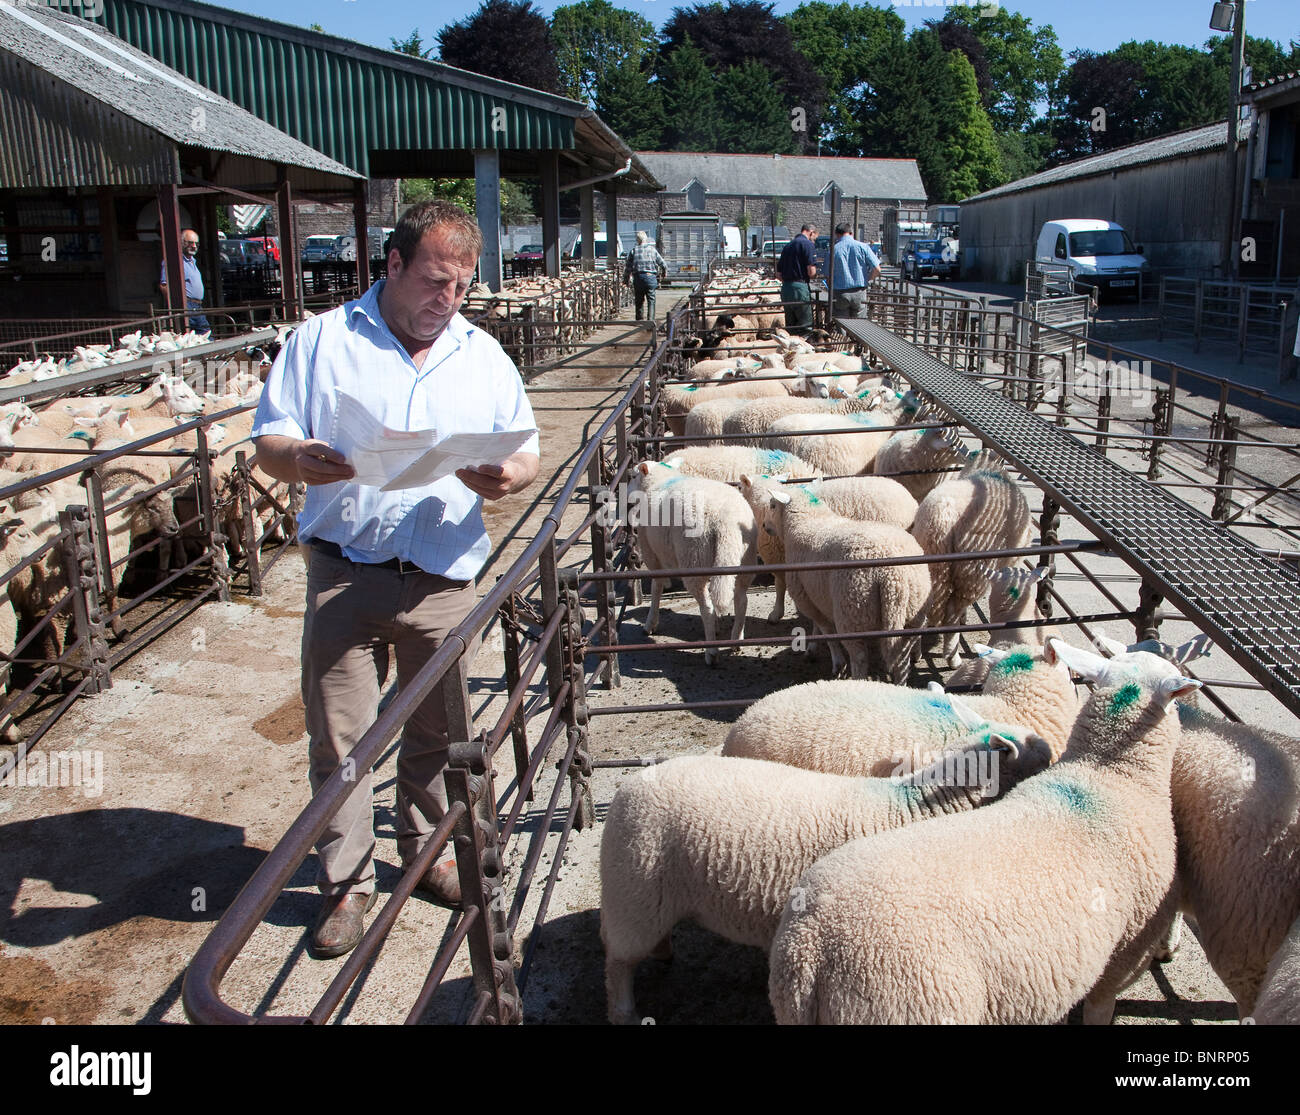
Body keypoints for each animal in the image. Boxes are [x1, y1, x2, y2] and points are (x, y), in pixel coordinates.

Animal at [626, 457, 759, 665]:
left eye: (632, 476)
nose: (625, 495)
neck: (659, 482)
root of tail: (726, 522)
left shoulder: (651, 552)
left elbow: (657, 587)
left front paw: (650, 623)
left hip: (693, 558)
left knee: (707, 607)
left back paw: (711, 652)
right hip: (744, 558)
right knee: (741, 599)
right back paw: (736, 638)